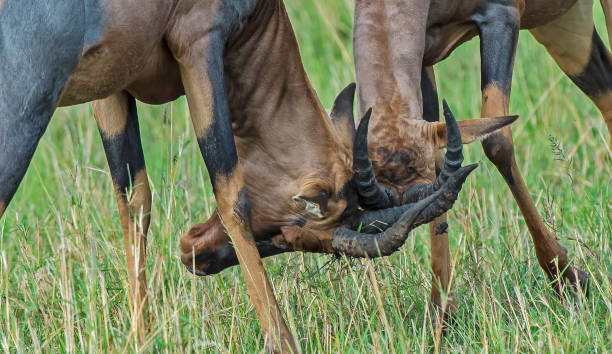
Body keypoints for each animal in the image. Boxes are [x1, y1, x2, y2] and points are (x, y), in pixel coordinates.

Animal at [0, 0, 516, 350]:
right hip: (29, 99)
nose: (194, 254)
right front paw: (282, 341)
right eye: (301, 224)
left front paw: (141, 336)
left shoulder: (112, 83)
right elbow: (231, 192)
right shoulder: (199, 42)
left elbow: (134, 198)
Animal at [352, 0, 608, 320]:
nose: (442, 314)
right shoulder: (425, 54)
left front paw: (567, 279)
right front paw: (441, 313)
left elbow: (497, 143)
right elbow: (440, 158)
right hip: (563, 24)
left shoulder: (501, 17)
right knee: (605, 89)